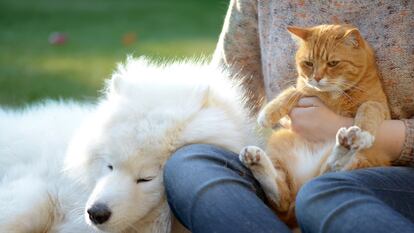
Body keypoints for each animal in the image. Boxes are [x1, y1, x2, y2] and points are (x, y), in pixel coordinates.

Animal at [239, 24, 392, 227]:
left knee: (329, 171)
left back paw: (347, 143)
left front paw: (363, 132)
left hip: (363, 157)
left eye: (333, 63)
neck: (333, 95)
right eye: (309, 63)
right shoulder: (305, 89)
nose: (317, 78)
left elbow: (368, 107)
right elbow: (294, 91)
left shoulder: (381, 107)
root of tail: (301, 187)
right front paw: (268, 112)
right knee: (282, 197)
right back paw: (255, 159)